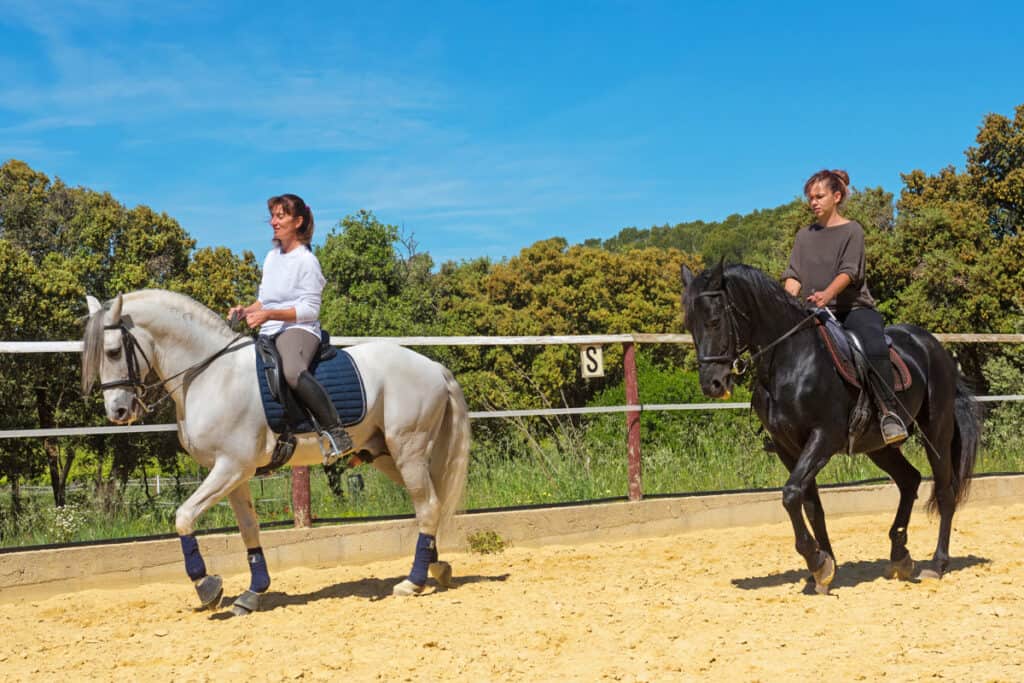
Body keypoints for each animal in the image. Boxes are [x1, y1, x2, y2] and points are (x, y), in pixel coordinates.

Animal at [81, 289, 471, 614]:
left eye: (113, 351)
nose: (117, 412)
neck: (210, 375)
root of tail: (433, 367)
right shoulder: (235, 475)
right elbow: (249, 529)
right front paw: (252, 593)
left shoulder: (231, 467)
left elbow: (184, 516)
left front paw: (208, 587)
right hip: (388, 455)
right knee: (430, 504)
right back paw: (436, 567)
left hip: (408, 450)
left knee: (428, 505)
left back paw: (413, 582)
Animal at [681, 262, 980, 594]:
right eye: (690, 324)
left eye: (714, 321)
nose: (711, 384)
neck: (790, 361)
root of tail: (934, 347)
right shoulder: (788, 447)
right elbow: (809, 503)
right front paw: (824, 568)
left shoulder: (823, 437)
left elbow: (790, 494)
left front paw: (817, 560)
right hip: (878, 446)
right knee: (909, 480)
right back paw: (899, 555)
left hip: (937, 434)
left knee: (944, 492)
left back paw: (937, 564)